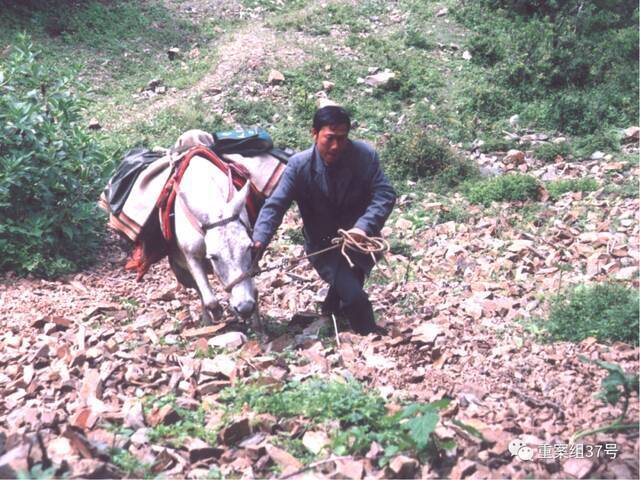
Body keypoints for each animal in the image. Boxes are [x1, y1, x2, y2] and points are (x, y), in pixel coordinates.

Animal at [170, 130, 262, 326]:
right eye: (214, 256)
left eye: (249, 248)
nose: (244, 308)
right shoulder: (191, 256)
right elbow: (208, 298)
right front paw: (218, 312)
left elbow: (254, 289)